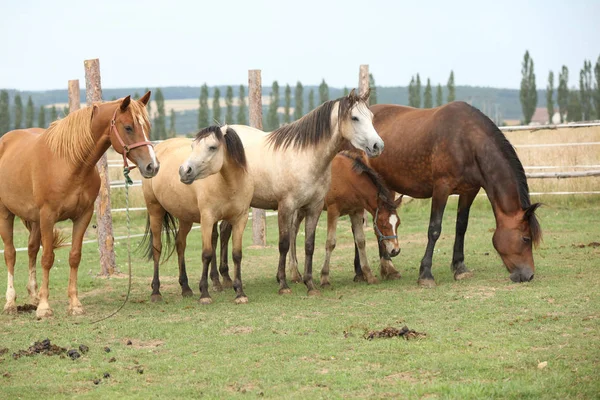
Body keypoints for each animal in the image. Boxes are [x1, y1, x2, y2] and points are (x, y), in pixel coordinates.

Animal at [0, 92, 159, 318]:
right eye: (128, 127)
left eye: (147, 126)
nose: (152, 166)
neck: (69, 163)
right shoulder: (48, 216)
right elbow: (47, 258)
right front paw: (44, 307)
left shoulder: (82, 216)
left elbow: (74, 256)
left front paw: (74, 304)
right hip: (6, 213)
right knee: (11, 254)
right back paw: (11, 303)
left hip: (35, 221)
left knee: (31, 250)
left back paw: (33, 296)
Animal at [142, 125, 252, 304]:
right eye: (193, 146)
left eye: (212, 147)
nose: (184, 171)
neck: (229, 184)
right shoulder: (207, 219)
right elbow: (207, 254)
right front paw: (205, 294)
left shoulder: (240, 219)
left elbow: (237, 254)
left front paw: (240, 293)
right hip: (155, 211)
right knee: (157, 248)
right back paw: (156, 292)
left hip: (185, 217)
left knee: (180, 244)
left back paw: (185, 287)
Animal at [220, 90, 384, 296]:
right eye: (355, 118)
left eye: (370, 117)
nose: (378, 146)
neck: (305, 157)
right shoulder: (286, 207)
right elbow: (284, 244)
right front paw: (283, 283)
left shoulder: (313, 208)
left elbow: (309, 245)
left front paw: (310, 284)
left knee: (223, 232)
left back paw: (224, 279)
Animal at [288, 151, 404, 288]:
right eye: (383, 224)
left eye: (398, 224)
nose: (395, 250)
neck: (347, 179)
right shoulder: (333, 211)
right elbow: (330, 243)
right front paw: (325, 278)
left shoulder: (356, 211)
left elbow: (360, 241)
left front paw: (369, 275)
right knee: (292, 231)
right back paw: (294, 274)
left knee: (294, 230)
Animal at [368, 101, 540, 286]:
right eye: (526, 239)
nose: (529, 275)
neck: (467, 142)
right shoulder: (441, 188)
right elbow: (434, 229)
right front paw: (425, 274)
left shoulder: (469, 191)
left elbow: (461, 226)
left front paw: (460, 268)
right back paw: (387, 266)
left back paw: (388, 268)